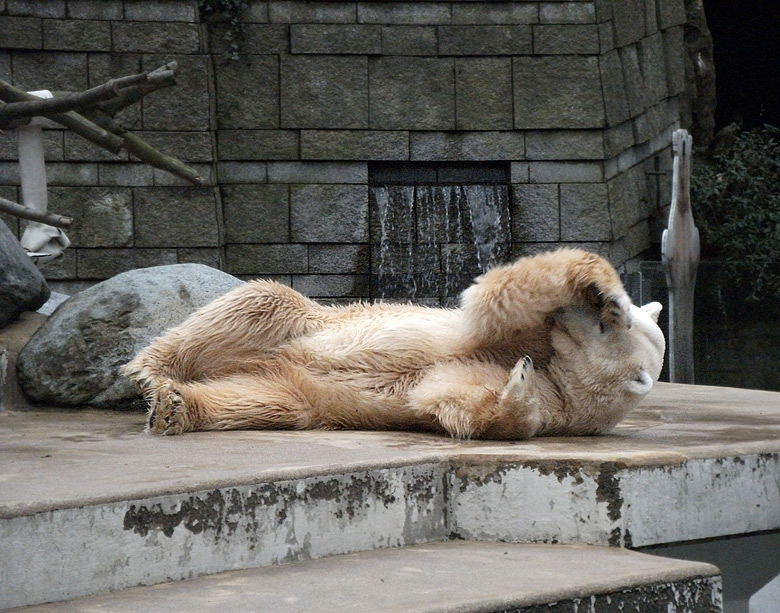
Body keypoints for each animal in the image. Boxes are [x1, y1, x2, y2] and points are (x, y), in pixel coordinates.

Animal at [122, 249, 664, 440]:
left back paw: (173, 407)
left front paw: (517, 388)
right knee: (257, 302)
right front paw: (596, 281)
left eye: (604, 328)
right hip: (303, 322)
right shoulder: (520, 340)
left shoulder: (557, 401)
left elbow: (453, 399)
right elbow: (501, 301)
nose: (569, 312)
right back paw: (151, 372)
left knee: (261, 399)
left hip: (289, 384)